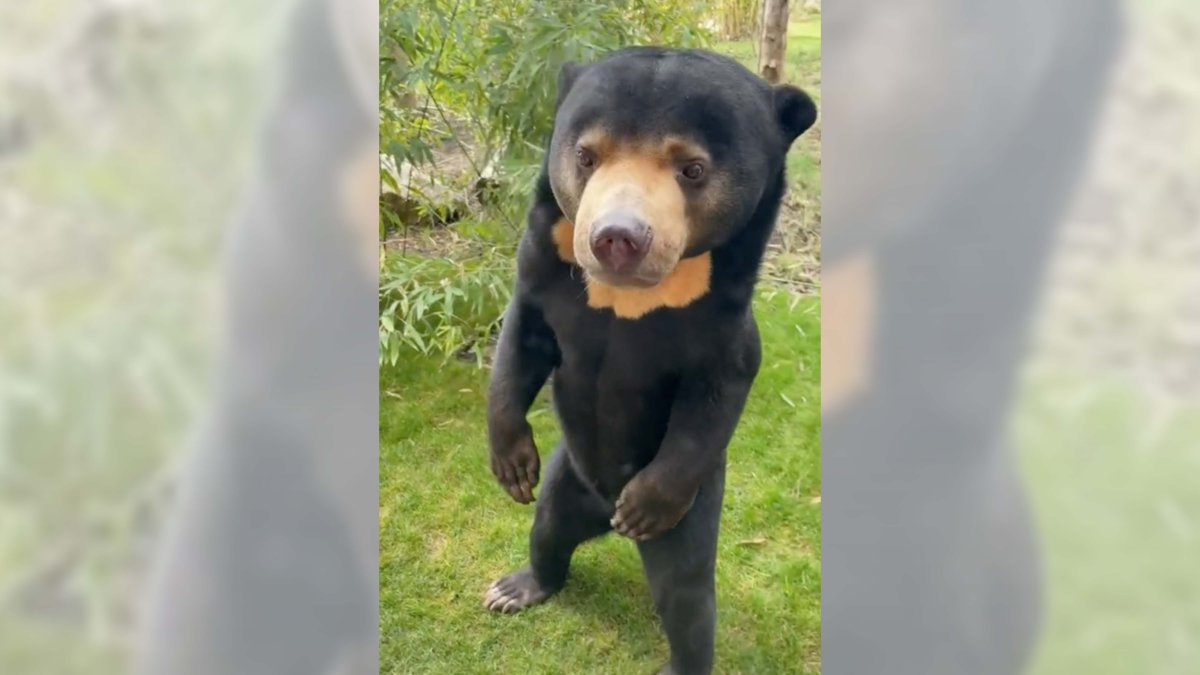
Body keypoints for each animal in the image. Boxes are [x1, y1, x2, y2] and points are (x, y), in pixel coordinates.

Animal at [483, 46, 817, 674]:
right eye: (586, 155)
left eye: (692, 169)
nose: (616, 237)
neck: (630, 295)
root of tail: (601, 516)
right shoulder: (542, 273)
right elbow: (520, 346)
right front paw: (512, 465)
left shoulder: (723, 325)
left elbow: (716, 396)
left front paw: (645, 501)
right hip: (565, 481)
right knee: (546, 531)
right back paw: (518, 587)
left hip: (692, 514)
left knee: (687, 600)